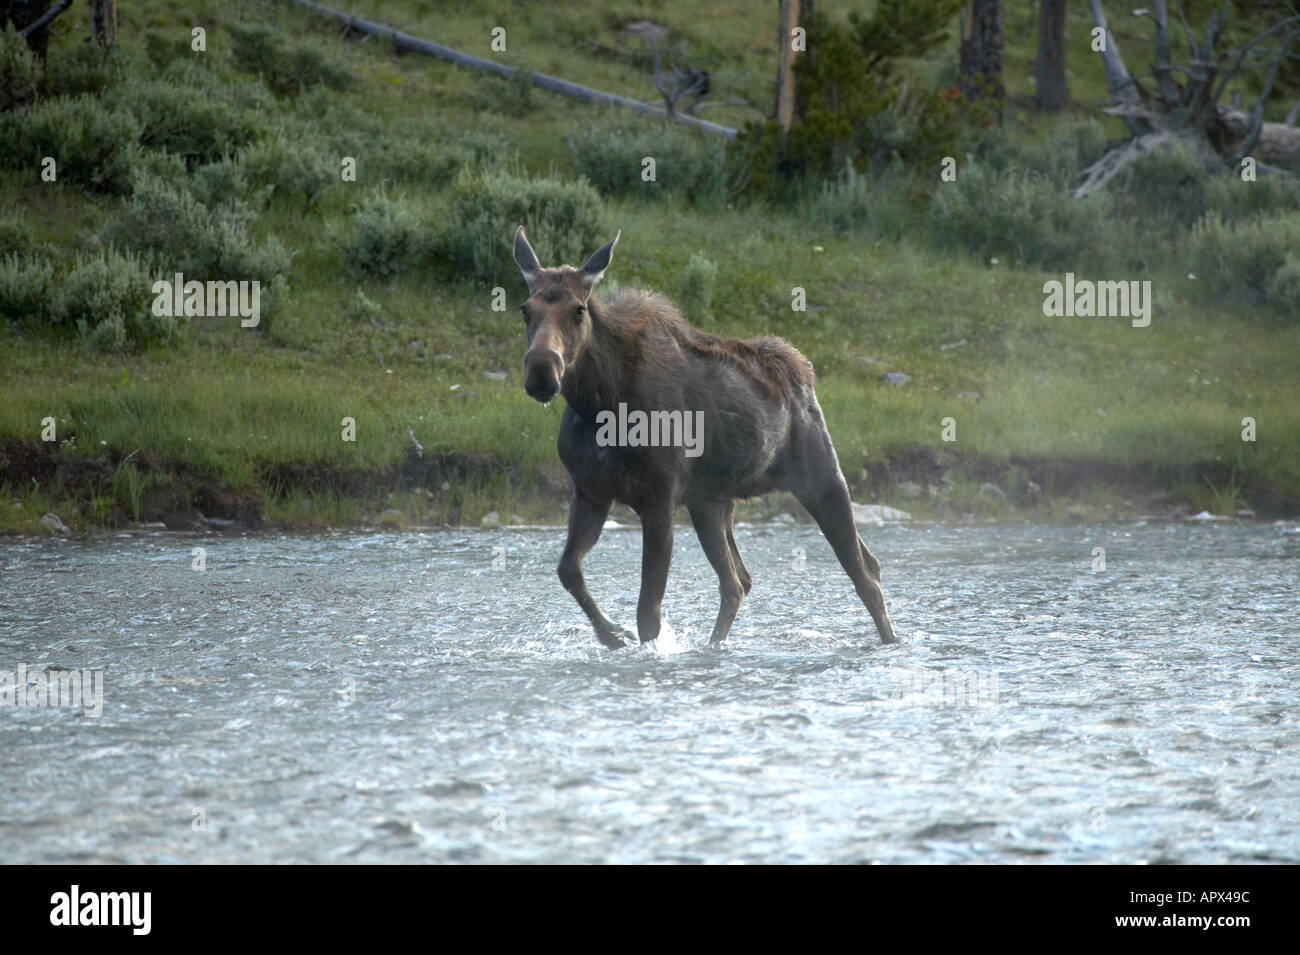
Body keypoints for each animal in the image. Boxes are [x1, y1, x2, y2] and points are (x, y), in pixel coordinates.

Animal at [512, 226, 899, 649]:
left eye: (579, 309)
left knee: (864, 572)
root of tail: (803, 369)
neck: (599, 407)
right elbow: (569, 571)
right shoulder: (591, 492)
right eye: (525, 309)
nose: (542, 372)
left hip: (822, 478)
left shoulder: (659, 500)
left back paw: (890, 641)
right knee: (738, 581)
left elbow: (648, 614)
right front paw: (613, 635)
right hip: (711, 503)